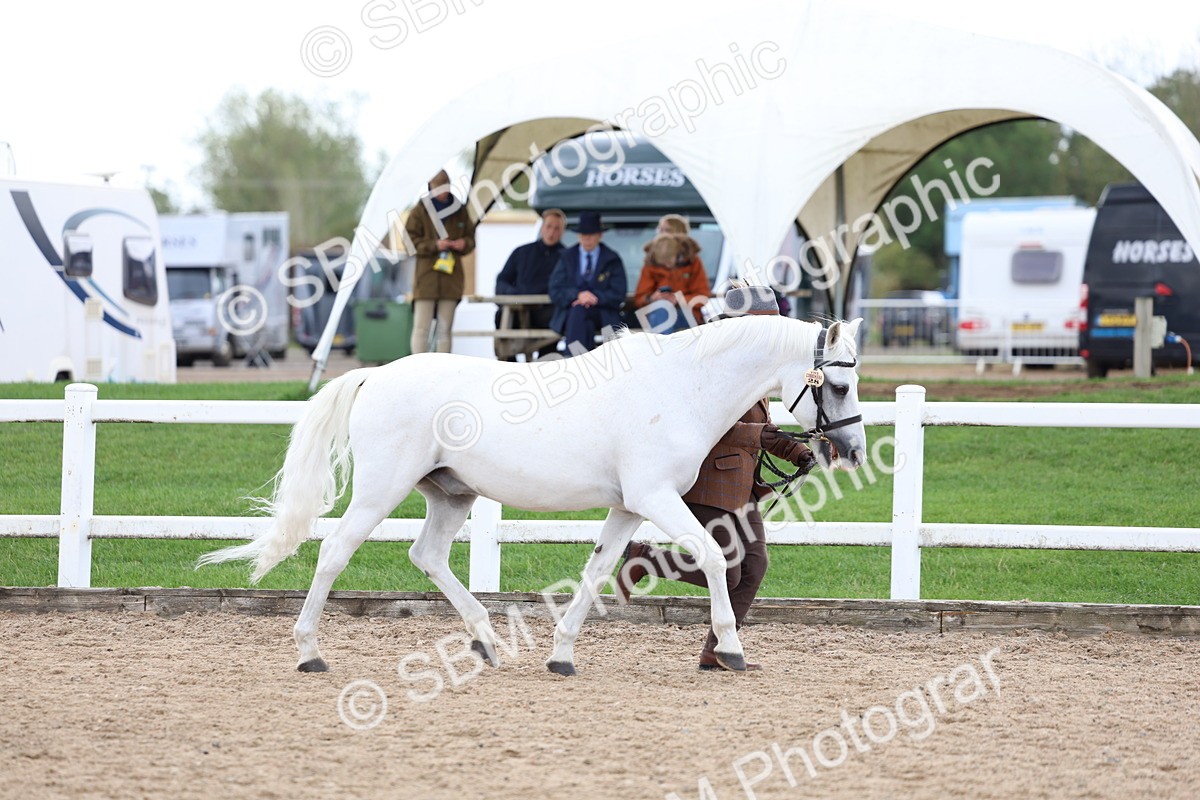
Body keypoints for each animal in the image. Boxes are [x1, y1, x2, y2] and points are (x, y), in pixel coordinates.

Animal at [199, 314, 866, 675]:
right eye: (837, 383)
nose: (853, 450)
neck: (681, 388)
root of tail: (374, 375)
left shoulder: (628, 507)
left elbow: (597, 571)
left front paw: (561, 655)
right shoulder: (655, 498)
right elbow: (709, 555)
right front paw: (730, 649)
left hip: (451, 495)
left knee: (427, 556)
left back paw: (486, 641)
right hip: (380, 491)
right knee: (335, 552)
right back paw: (309, 652)